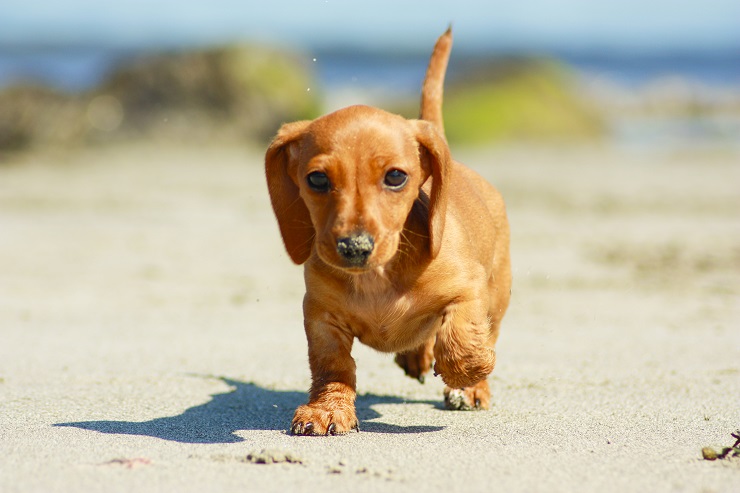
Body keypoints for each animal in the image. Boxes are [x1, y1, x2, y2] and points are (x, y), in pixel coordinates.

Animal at [264, 27, 512, 434]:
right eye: (316, 179)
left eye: (396, 176)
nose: (354, 247)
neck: (378, 277)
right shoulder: (319, 314)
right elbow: (332, 366)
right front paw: (327, 409)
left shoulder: (470, 288)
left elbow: (462, 335)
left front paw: (467, 373)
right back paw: (416, 355)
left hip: (500, 289)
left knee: (484, 328)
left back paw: (472, 386)